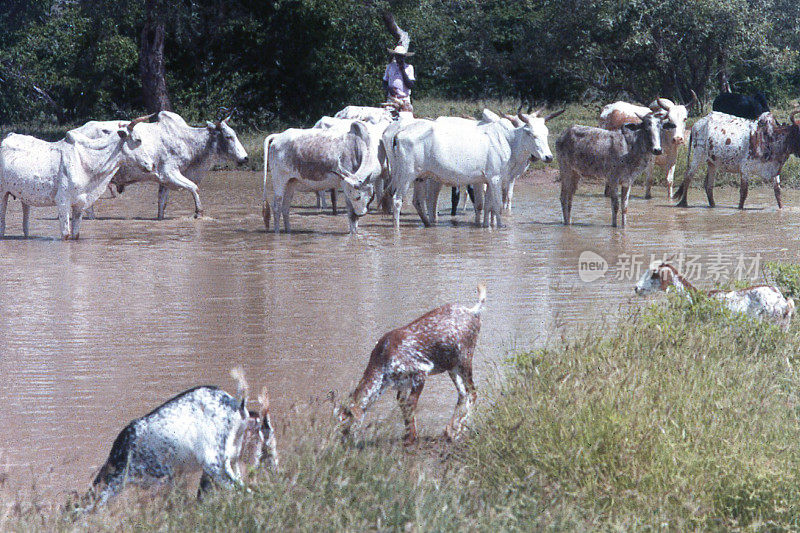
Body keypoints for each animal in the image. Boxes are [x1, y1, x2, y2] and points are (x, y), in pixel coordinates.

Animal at [0, 119, 155, 241]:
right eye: (138, 140)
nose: (151, 164)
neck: (87, 161)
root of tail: (8, 137)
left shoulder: (80, 204)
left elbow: (76, 235)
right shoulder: (62, 202)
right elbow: (66, 235)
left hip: (23, 196)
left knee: (25, 222)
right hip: (2, 194)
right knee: (2, 224)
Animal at [72, 110, 248, 218]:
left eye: (234, 134)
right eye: (228, 136)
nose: (245, 158)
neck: (186, 141)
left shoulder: (164, 182)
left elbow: (162, 204)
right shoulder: (169, 173)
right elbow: (194, 187)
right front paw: (198, 213)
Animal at [340, 282, 488, 444]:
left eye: (346, 423)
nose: (342, 441)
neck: (382, 364)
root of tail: (473, 312)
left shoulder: (421, 371)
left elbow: (411, 404)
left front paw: (411, 438)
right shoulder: (402, 384)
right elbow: (404, 406)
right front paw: (408, 435)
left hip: (465, 359)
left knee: (473, 392)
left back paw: (459, 431)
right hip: (452, 366)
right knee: (462, 393)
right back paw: (448, 431)